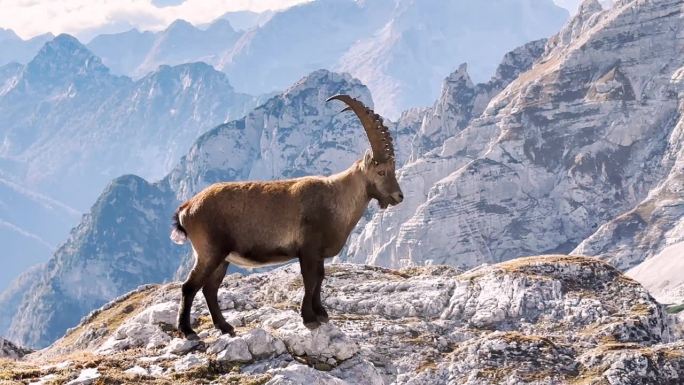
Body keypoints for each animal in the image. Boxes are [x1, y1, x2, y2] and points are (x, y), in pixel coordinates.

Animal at [171, 94, 404, 340]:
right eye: (381, 172)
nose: (399, 196)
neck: (335, 197)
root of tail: (187, 208)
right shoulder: (308, 249)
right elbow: (310, 279)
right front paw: (309, 317)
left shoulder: (318, 253)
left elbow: (320, 277)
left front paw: (321, 313)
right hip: (209, 252)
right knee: (189, 286)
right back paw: (187, 330)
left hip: (222, 257)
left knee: (210, 288)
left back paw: (225, 326)